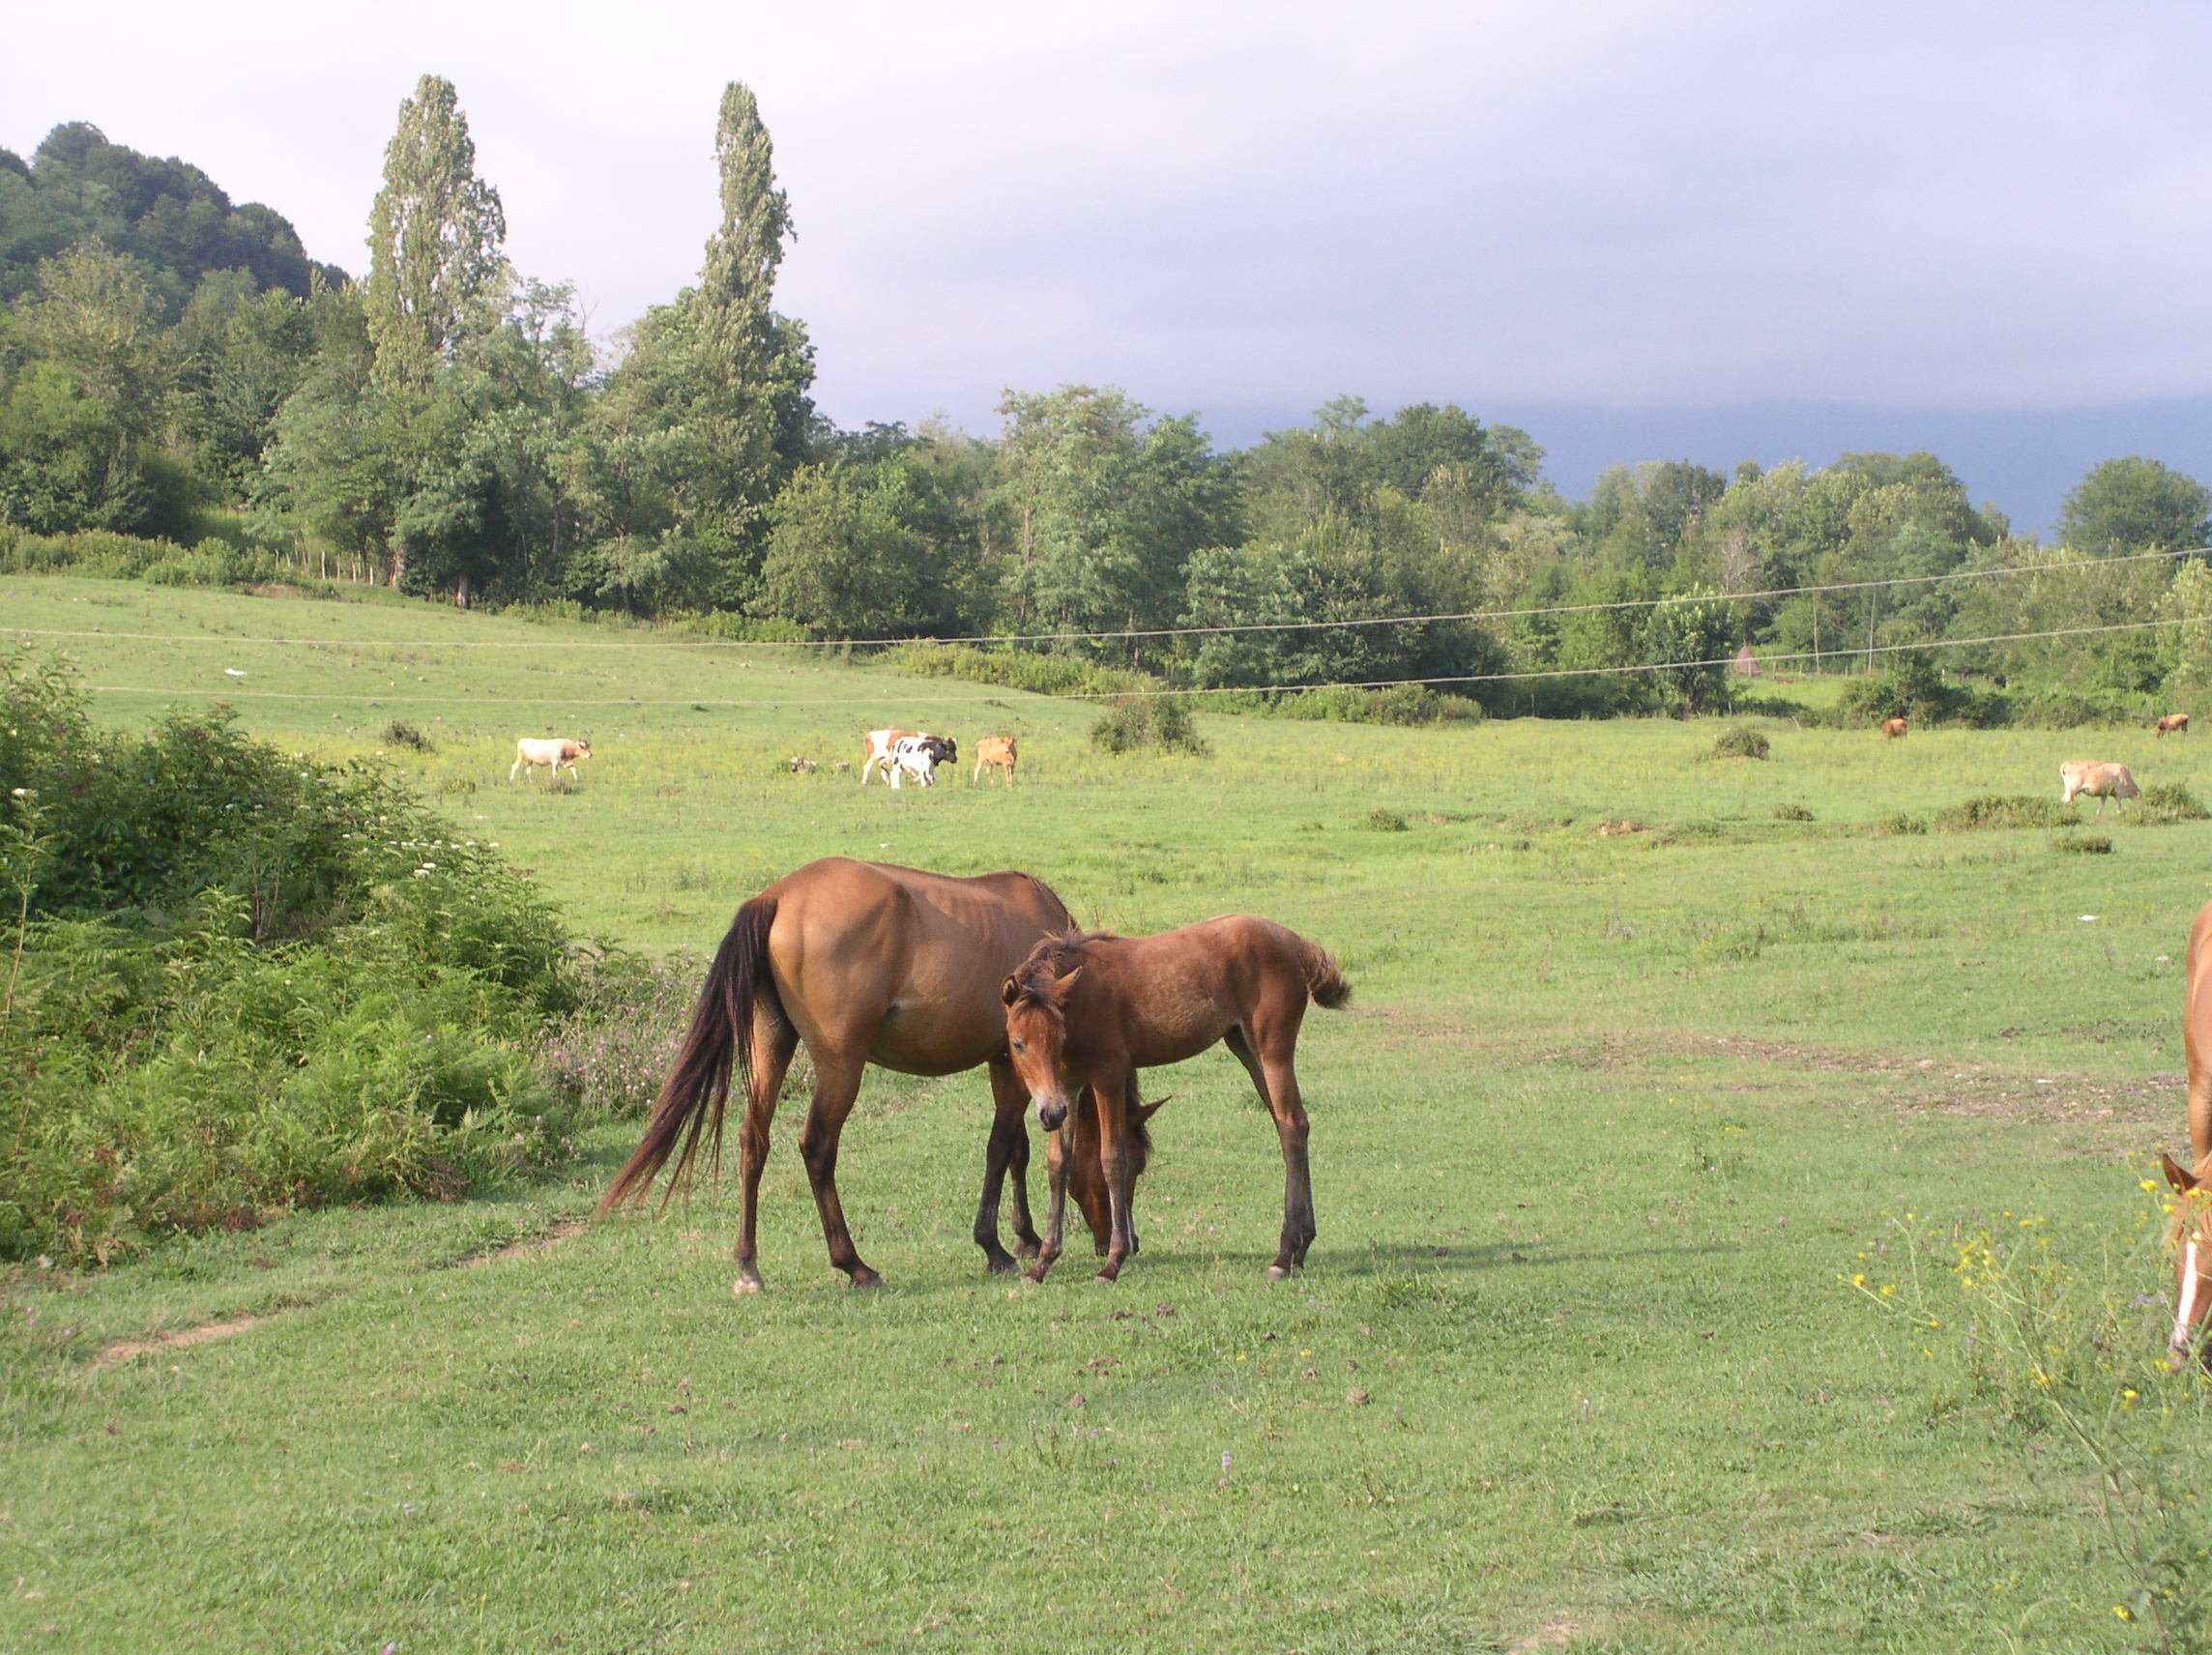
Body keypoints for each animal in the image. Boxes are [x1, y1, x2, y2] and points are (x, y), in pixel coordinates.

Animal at [601, 858, 1132, 1283]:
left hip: (771, 1044)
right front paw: (996, 1246)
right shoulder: (1012, 1061)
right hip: (841, 1065)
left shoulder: (1009, 1065)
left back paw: (749, 1266)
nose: (1113, 1241)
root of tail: (776, 897)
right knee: (817, 1147)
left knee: (754, 1140)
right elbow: (1001, 1148)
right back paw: (853, 1264)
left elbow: (1017, 1151)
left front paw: (1024, 1236)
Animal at [1004, 915, 1345, 1283]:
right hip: (1244, 1045)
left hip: (1272, 1048)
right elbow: (1058, 1165)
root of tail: (1295, 942)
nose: (1050, 1113)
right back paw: (1301, 1247)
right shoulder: (1067, 1086)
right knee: (1292, 1124)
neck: (1080, 997)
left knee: (1291, 1125)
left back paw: (1284, 1254)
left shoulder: (1108, 1076)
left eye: (1057, 1038)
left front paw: (1113, 1262)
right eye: (1017, 1043)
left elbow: (1112, 1159)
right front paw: (1042, 1262)